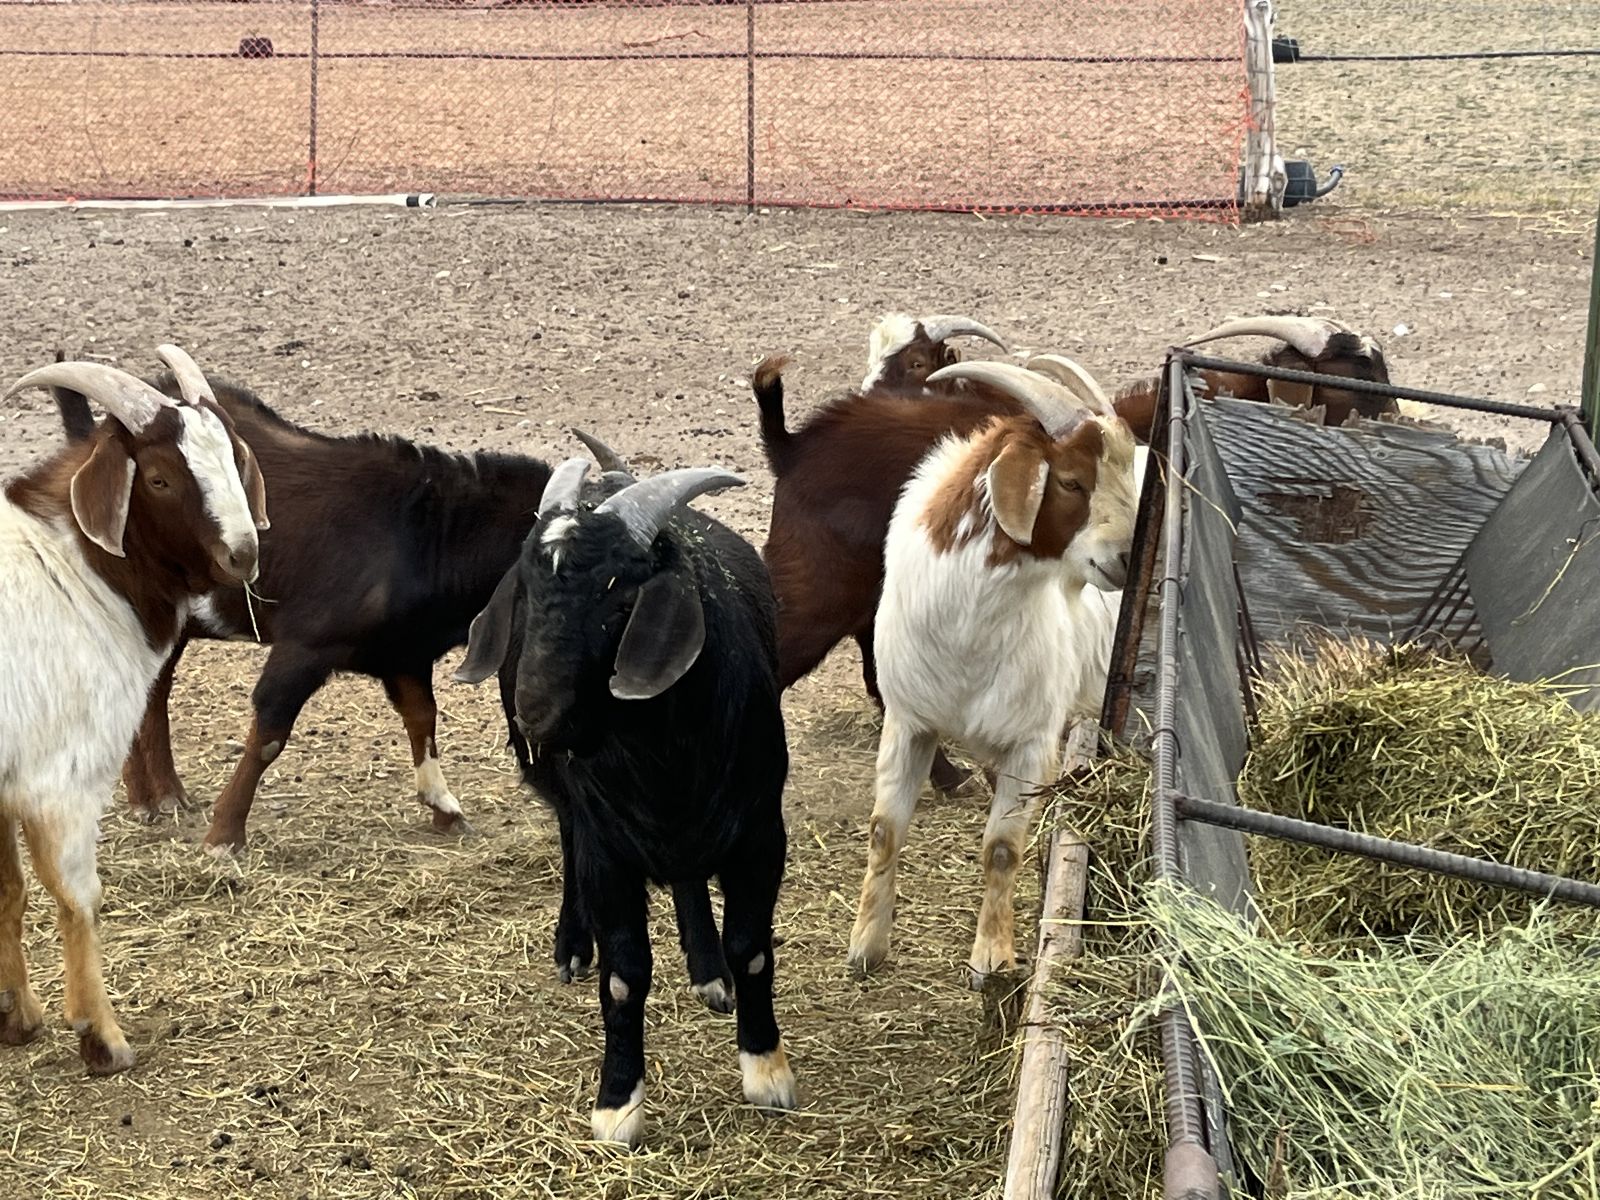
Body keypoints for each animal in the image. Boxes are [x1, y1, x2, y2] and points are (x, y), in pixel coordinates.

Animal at [0, 347, 266, 1074]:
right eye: (157, 478)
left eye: (233, 456)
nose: (243, 554)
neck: (71, 568)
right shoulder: (63, 774)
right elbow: (77, 897)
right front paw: (101, 1037)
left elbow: (9, 890)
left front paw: (18, 1017)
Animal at [454, 457, 796, 1147]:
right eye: (526, 592)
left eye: (619, 596)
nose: (534, 715)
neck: (665, 759)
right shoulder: (606, 846)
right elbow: (624, 975)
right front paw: (617, 1104)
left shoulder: (760, 832)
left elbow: (751, 950)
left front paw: (766, 1069)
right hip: (575, 809)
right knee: (567, 838)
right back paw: (572, 945)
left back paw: (706, 968)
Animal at [845, 357, 1140, 987]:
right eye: (1072, 482)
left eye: (1130, 478)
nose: (1129, 558)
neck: (968, 629)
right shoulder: (909, 721)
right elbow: (884, 831)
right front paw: (865, 946)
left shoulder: (1030, 741)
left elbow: (1002, 848)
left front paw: (992, 957)